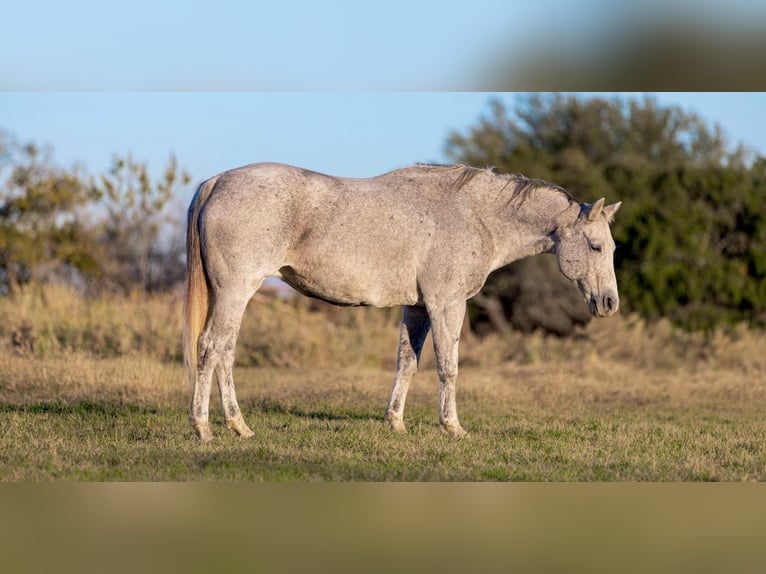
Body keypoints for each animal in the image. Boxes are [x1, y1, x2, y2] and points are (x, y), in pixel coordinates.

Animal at [183, 164, 620, 444]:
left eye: (612, 248)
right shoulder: (447, 304)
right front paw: (453, 427)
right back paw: (209, 428)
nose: (609, 303)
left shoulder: (419, 308)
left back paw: (231, 426)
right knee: (213, 348)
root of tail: (218, 181)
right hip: (236, 291)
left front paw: (395, 422)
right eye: (596, 246)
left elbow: (407, 362)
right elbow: (448, 366)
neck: (474, 216)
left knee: (221, 352)